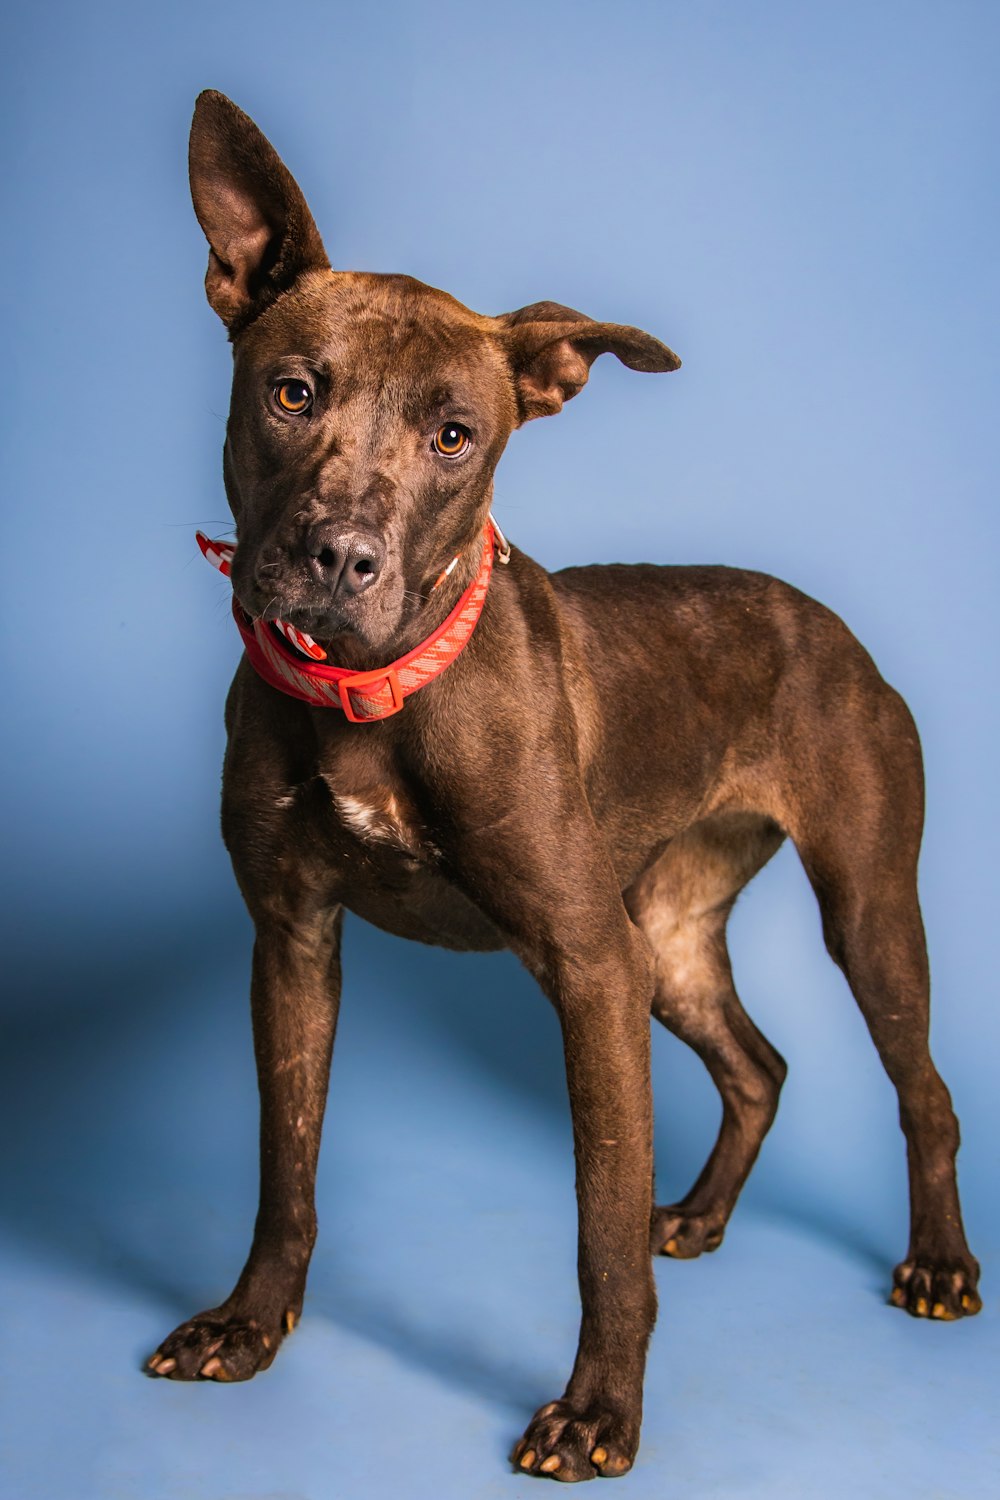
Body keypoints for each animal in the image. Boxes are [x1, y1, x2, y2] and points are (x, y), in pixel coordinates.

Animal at [144, 90, 983, 1476]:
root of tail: (825, 623)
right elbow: (287, 1167)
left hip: (861, 909)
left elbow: (595, 1220)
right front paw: (250, 1325)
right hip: (668, 938)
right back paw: (695, 1214)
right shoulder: (293, 941)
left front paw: (598, 1411)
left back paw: (937, 1266)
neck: (379, 694)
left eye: (455, 436)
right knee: (759, 1067)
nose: (339, 556)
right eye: (292, 391)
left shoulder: (584, 966)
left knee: (925, 1093)